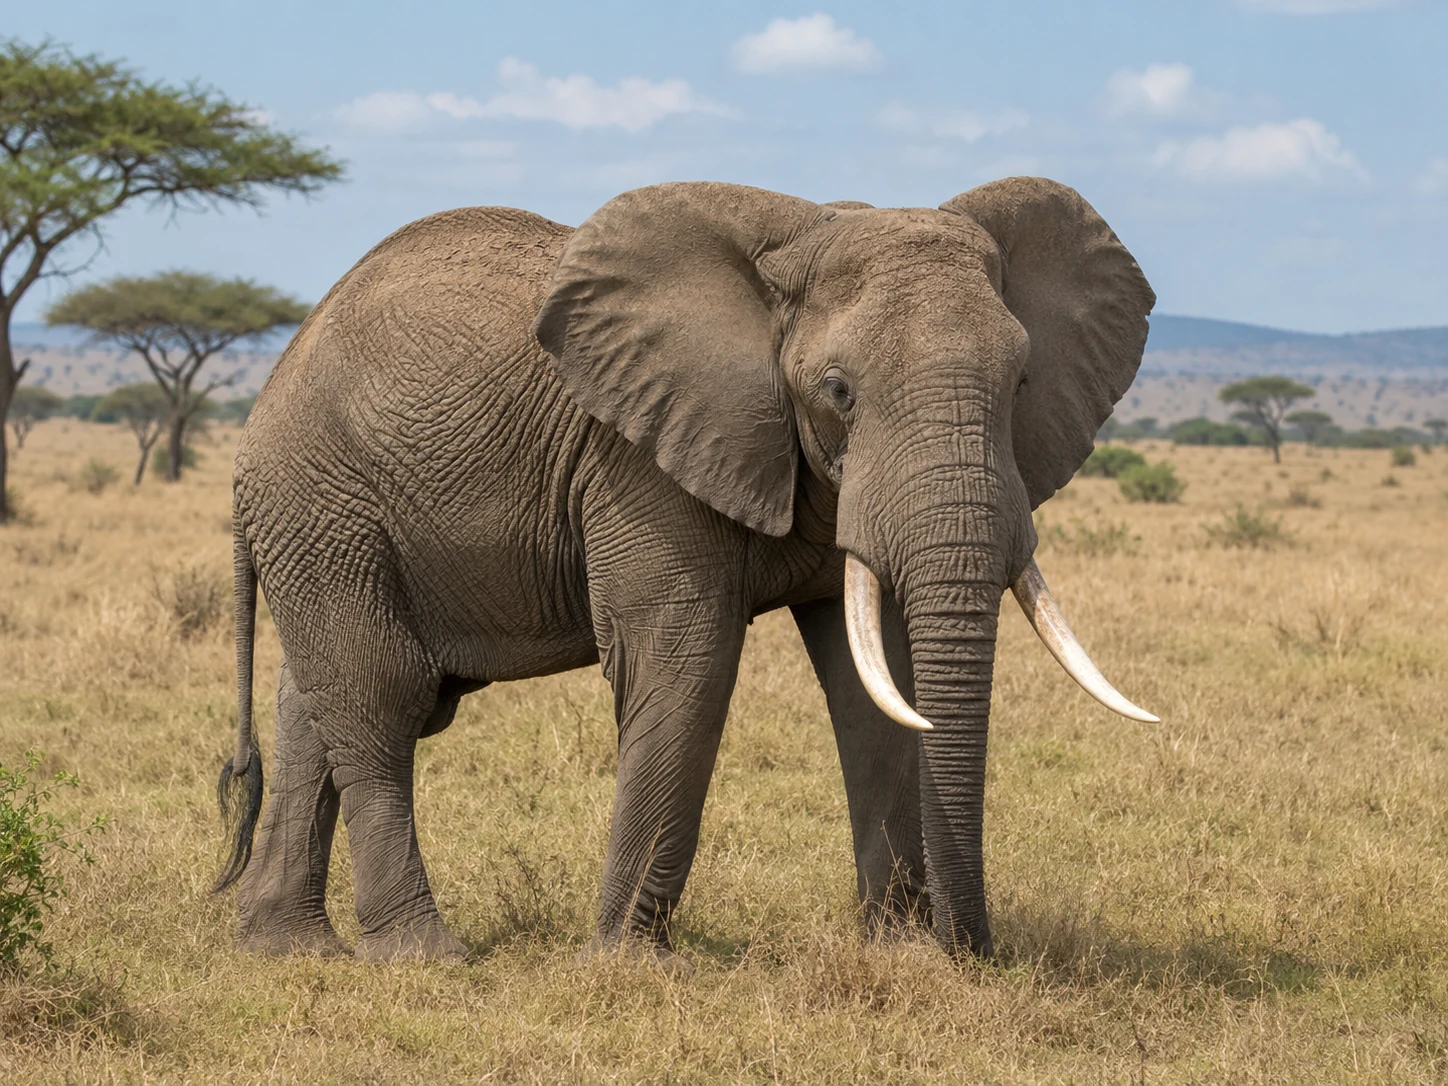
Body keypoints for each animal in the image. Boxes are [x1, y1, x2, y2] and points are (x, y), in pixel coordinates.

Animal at [213, 177, 1157, 964]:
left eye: (1023, 381)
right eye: (839, 390)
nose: (974, 954)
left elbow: (882, 680)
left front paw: (896, 956)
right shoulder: (640, 462)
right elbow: (684, 663)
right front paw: (626, 965)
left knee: (312, 701)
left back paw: (286, 949)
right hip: (323, 500)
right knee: (382, 695)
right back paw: (424, 957)